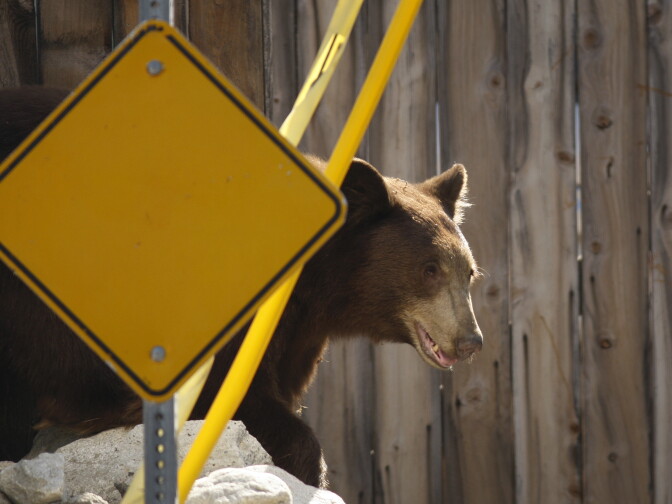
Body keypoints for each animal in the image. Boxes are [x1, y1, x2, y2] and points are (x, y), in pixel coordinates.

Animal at [0, 86, 483, 487]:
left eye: (469, 272)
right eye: (429, 269)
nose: (471, 340)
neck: (313, 284)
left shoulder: (297, 330)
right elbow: (231, 398)